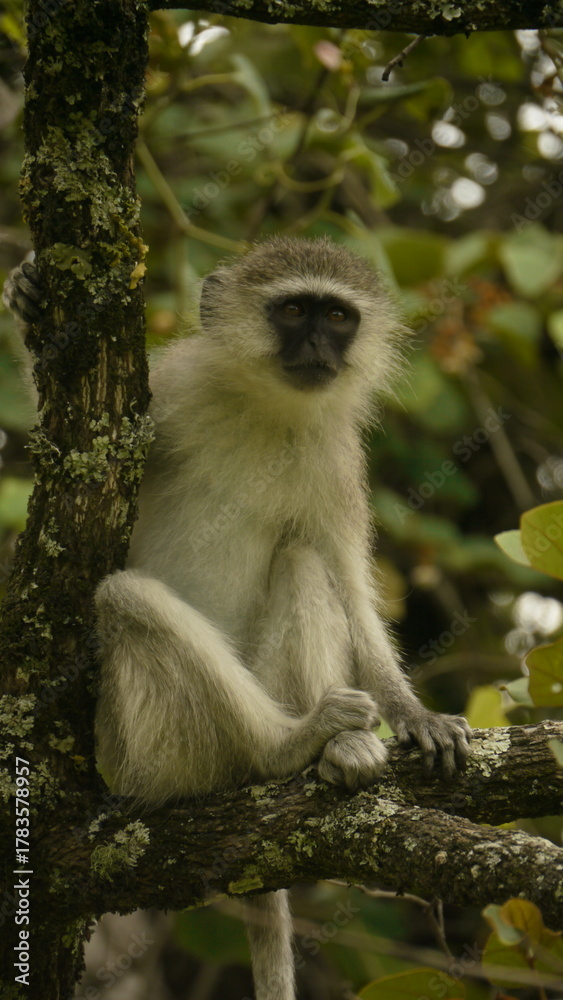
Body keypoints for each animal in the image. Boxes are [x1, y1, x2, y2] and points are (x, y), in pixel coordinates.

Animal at [4, 237, 471, 1000]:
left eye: (336, 316)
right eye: (293, 310)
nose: (316, 345)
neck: (267, 408)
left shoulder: (337, 459)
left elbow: (350, 584)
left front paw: (415, 715)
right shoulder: (171, 386)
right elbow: (67, 451)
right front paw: (29, 301)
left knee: (303, 559)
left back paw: (333, 751)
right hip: (141, 748)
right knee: (126, 600)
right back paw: (287, 745)